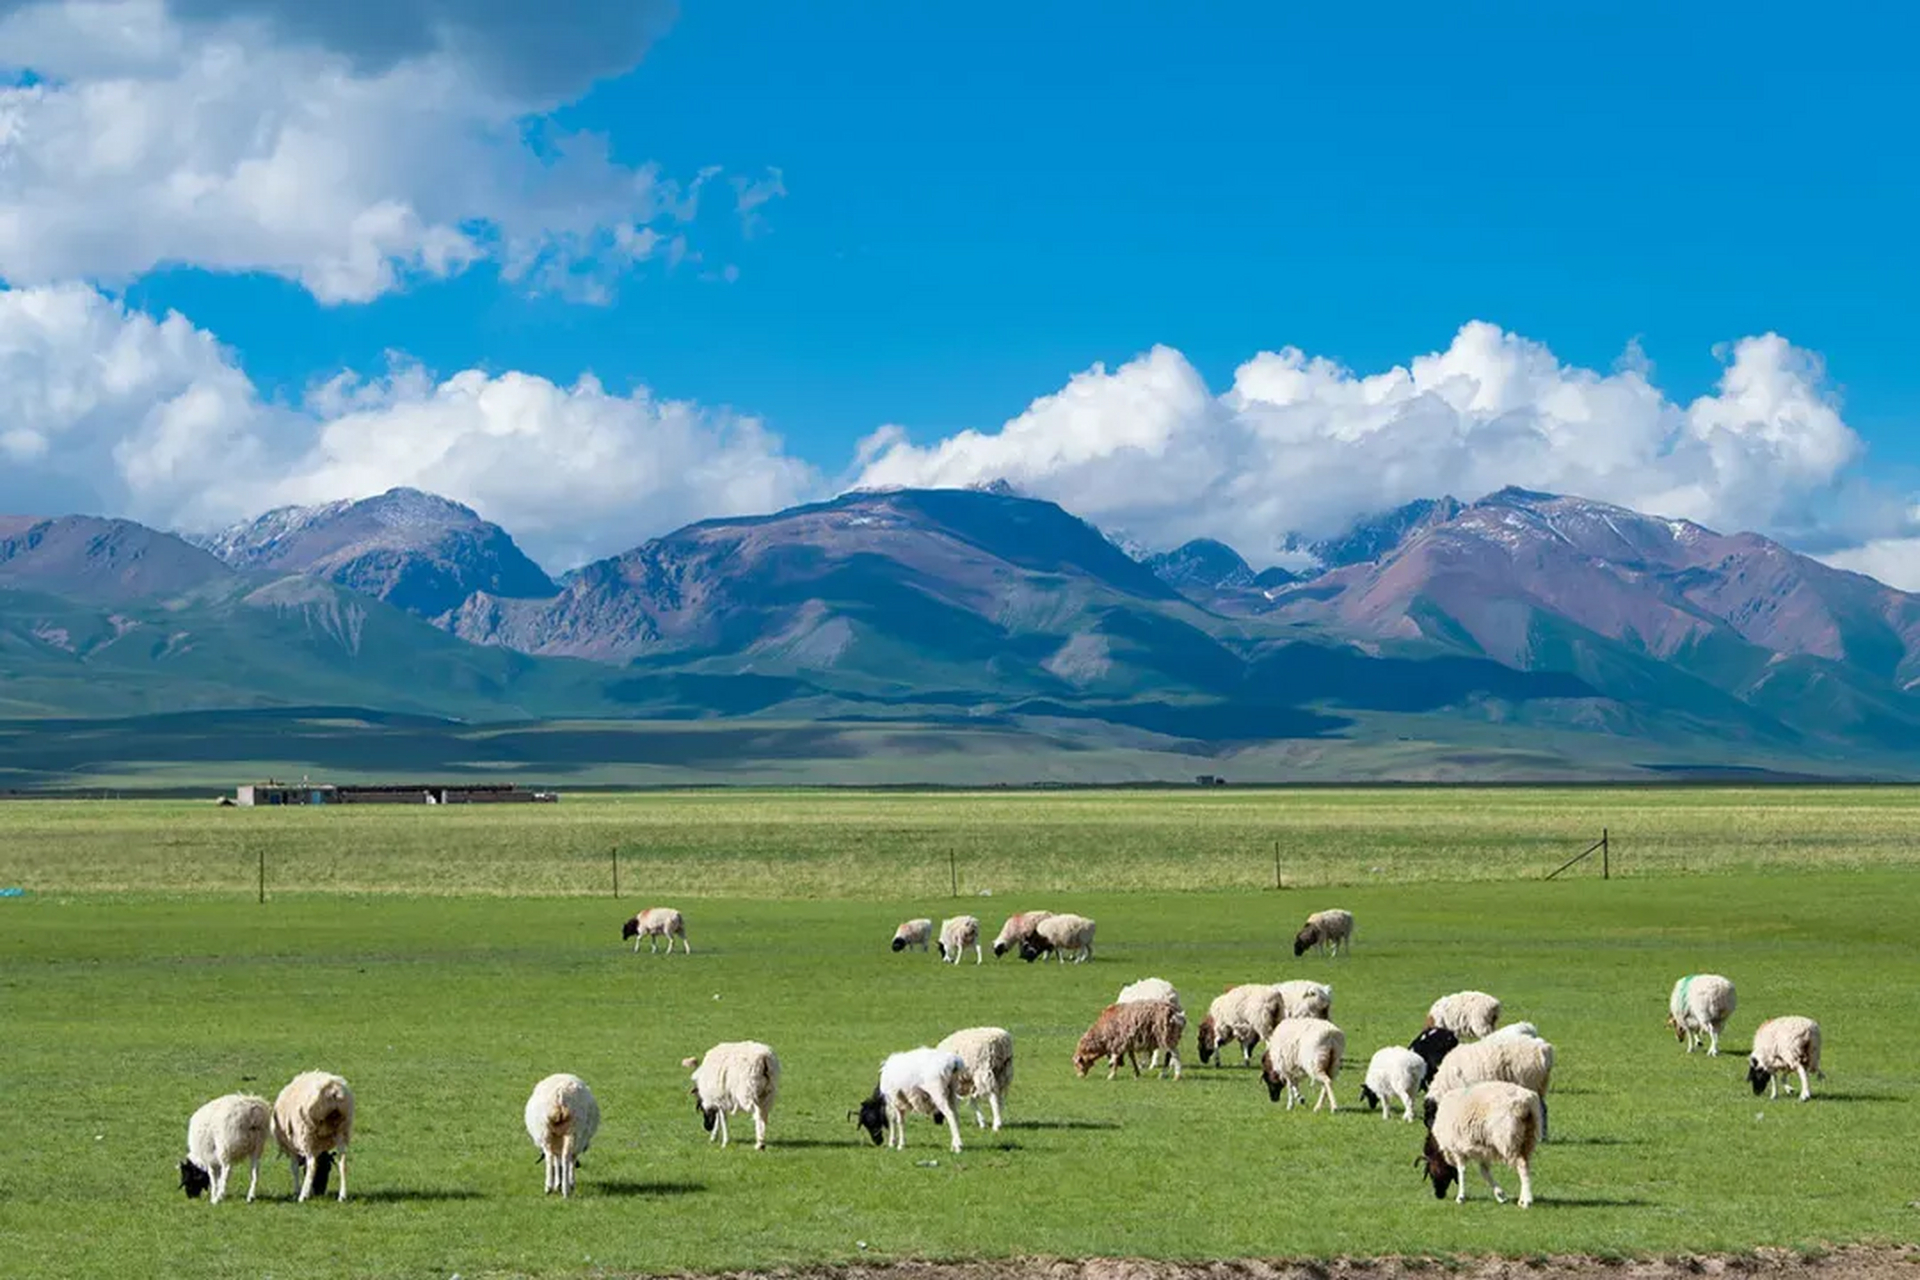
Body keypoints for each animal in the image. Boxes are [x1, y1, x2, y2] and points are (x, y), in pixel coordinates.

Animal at [270, 1074, 353, 1205]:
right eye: (328, 1169)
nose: (320, 1192)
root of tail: (333, 1090)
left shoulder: (291, 1144)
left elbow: (294, 1168)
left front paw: (297, 1191)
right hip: (342, 1129)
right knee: (343, 1162)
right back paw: (342, 1196)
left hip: (307, 1132)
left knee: (312, 1164)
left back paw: (302, 1196)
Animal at [1428, 1074, 1543, 1205]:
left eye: (1431, 1174)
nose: (1438, 1195)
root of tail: (1525, 1103)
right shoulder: (1482, 1149)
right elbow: (1485, 1173)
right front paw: (1500, 1195)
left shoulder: (1457, 1149)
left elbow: (1462, 1171)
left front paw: (1461, 1197)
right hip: (1527, 1138)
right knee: (1526, 1165)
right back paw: (1522, 1199)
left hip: (1508, 1139)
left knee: (1522, 1165)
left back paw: (1527, 1201)